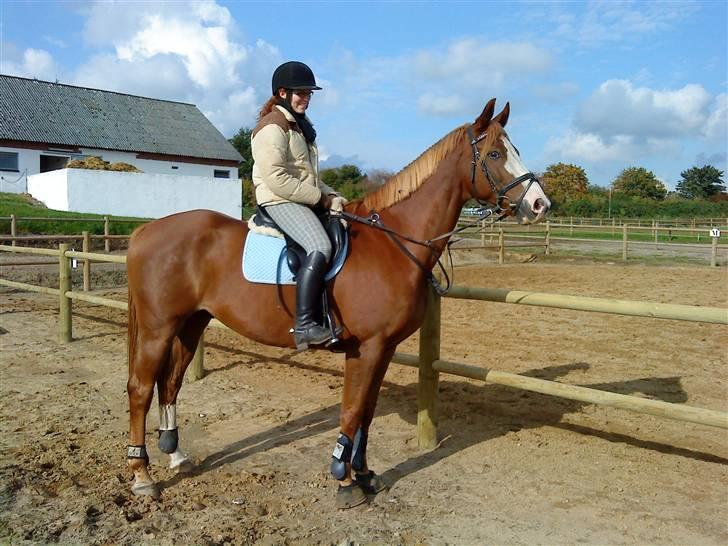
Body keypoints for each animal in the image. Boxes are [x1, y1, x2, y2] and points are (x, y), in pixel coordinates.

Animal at [126, 96, 552, 506]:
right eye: (495, 154)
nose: (539, 204)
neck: (394, 243)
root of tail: (146, 231)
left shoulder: (384, 348)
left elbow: (367, 413)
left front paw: (364, 474)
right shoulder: (366, 347)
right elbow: (351, 410)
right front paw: (343, 481)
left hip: (190, 323)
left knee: (171, 382)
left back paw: (175, 456)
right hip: (158, 328)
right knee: (141, 388)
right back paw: (142, 476)